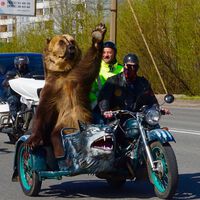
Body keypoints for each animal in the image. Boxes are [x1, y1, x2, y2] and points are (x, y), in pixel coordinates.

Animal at [27, 23, 107, 159]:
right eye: (61, 42)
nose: (71, 47)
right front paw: (32, 141)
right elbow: (43, 113)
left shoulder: (77, 81)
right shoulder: (52, 91)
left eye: (72, 41)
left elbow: (89, 65)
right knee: (57, 136)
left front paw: (98, 34)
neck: (63, 72)